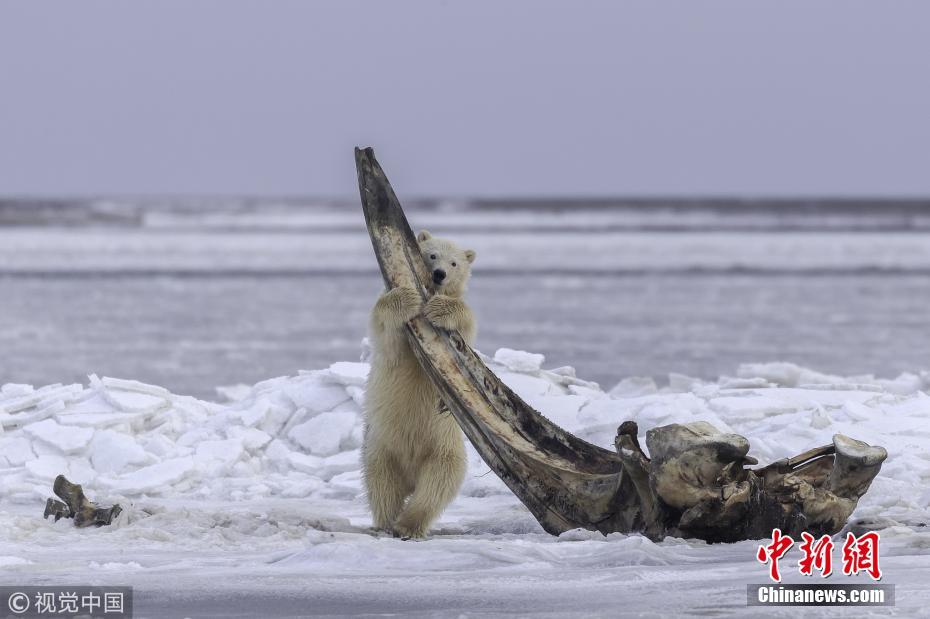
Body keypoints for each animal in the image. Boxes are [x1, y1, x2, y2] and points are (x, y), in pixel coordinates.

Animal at [360, 230, 474, 540]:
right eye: (432, 254)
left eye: (455, 262)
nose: (439, 274)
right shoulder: (393, 344)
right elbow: (387, 335)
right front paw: (406, 298)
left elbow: (465, 326)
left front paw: (441, 309)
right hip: (380, 446)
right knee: (382, 484)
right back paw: (387, 522)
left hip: (443, 448)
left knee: (437, 485)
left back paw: (408, 524)